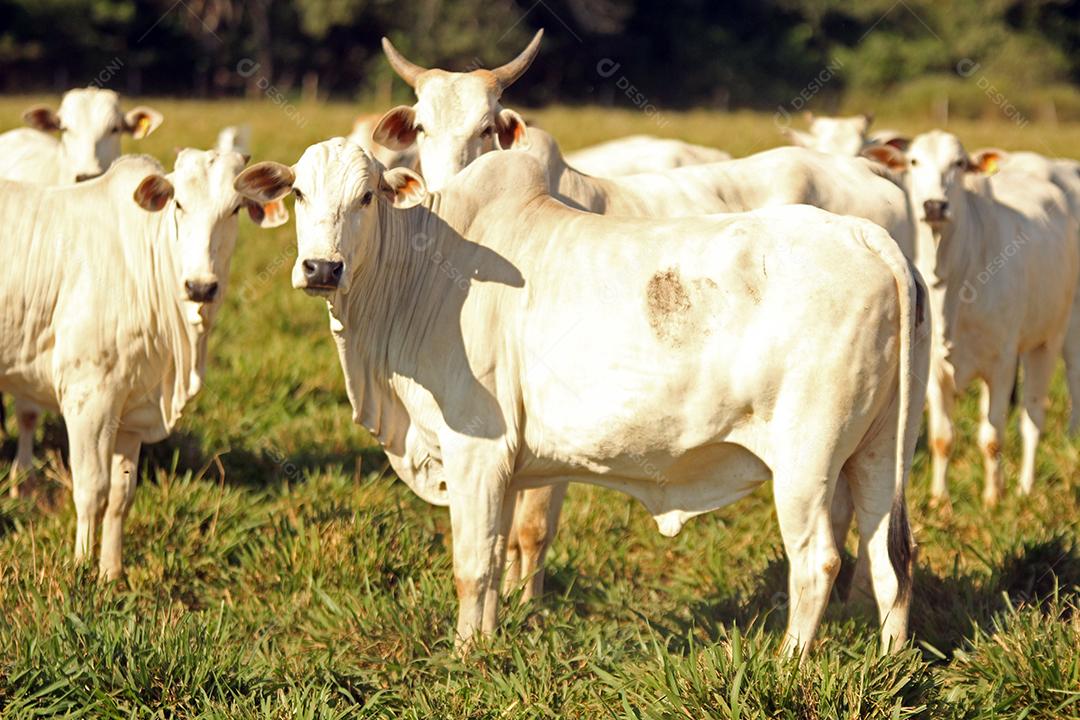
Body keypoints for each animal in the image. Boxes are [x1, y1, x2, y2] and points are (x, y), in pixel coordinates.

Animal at [0, 148, 287, 578]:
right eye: (178, 204)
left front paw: (111, 572)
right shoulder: (88, 398)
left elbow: (121, 494)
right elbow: (91, 489)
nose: (200, 286)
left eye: (235, 208)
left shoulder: (133, 412)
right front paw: (81, 567)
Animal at [876, 133, 1080, 507]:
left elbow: (992, 437)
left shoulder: (1001, 364)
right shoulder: (934, 371)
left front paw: (992, 498)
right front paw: (940, 500)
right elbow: (942, 437)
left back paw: (1025, 486)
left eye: (959, 163)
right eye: (913, 161)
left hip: (1051, 339)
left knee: (1034, 417)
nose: (934, 206)